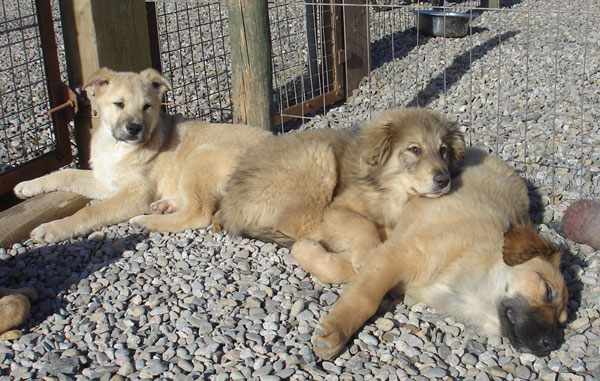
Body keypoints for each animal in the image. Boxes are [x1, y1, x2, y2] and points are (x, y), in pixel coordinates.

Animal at [14, 67, 270, 242]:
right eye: (119, 104)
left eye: (147, 106)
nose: (134, 128)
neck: (116, 147)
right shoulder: (105, 180)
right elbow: (66, 174)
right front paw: (27, 186)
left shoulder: (135, 195)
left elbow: (91, 210)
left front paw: (53, 228)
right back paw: (165, 206)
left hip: (201, 157)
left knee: (199, 213)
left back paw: (147, 221)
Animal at [213, 105, 466, 280]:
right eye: (414, 149)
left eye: (443, 150)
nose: (444, 180)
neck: (393, 189)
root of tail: (230, 203)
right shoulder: (337, 207)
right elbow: (362, 223)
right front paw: (366, 255)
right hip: (317, 158)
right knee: (301, 228)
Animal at [312, 148, 568, 360]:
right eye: (547, 290)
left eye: (563, 320)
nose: (549, 345)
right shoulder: (395, 256)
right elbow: (364, 297)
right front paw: (336, 330)